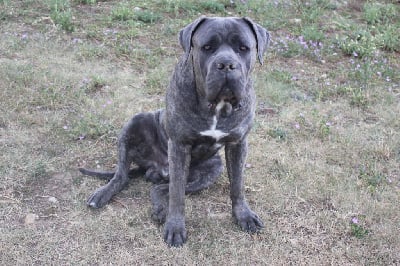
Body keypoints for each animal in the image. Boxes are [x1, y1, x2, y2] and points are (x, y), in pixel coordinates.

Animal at [79, 16, 270, 247]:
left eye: (243, 48)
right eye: (207, 47)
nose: (226, 64)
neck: (217, 106)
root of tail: (155, 169)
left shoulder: (238, 144)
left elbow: (237, 185)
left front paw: (243, 215)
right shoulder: (179, 145)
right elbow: (177, 194)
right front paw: (176, 228)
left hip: (212, 169)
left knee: (160, 188)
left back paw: (160, 207)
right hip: (136, 121)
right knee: (123, 176)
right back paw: (104, 194)